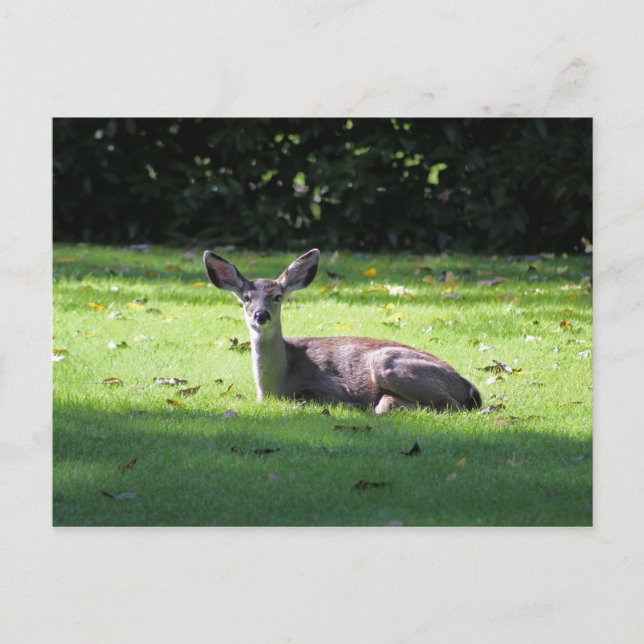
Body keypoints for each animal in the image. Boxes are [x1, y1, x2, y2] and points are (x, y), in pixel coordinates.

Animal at [203, 249, 481, 414]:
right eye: (246, 298)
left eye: (278, 296)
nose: (261, 315)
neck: (276, 383)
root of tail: (467, 385)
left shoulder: (327, 386)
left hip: (386, 362)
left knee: (450, 405)